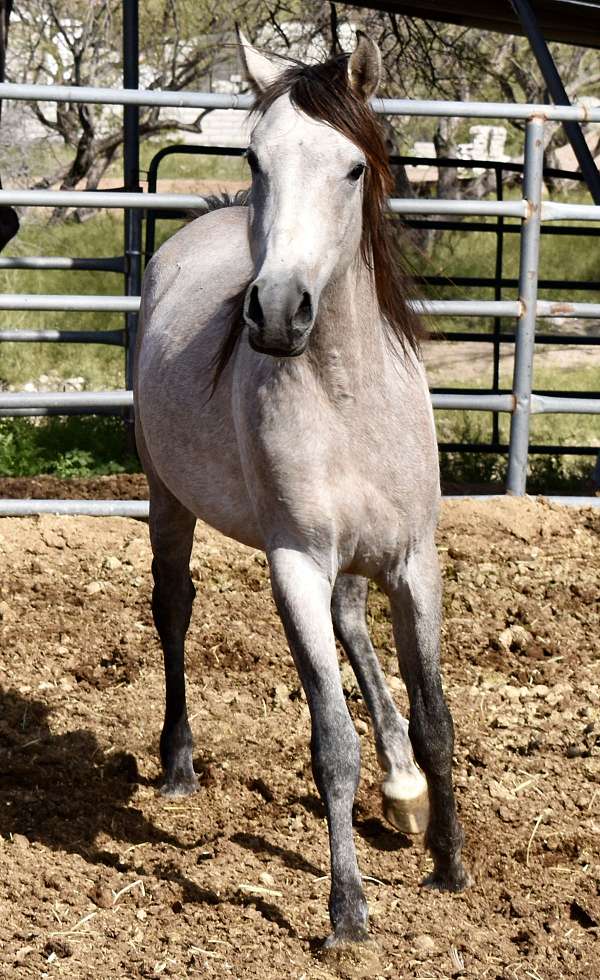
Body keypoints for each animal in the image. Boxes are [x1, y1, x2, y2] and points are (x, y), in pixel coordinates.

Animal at [136, 34, 468, 944]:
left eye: (354, 168)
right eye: (257, 157)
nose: (278, 312)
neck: (348, 395)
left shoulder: (414, 562)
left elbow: (435, 718)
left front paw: (450, 864)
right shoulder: (296, 565)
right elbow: (331, 741)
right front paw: (347, 910)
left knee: (355, 627)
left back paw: (404, 791)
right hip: (166, 496)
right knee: (173, 607)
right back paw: (178, 764)